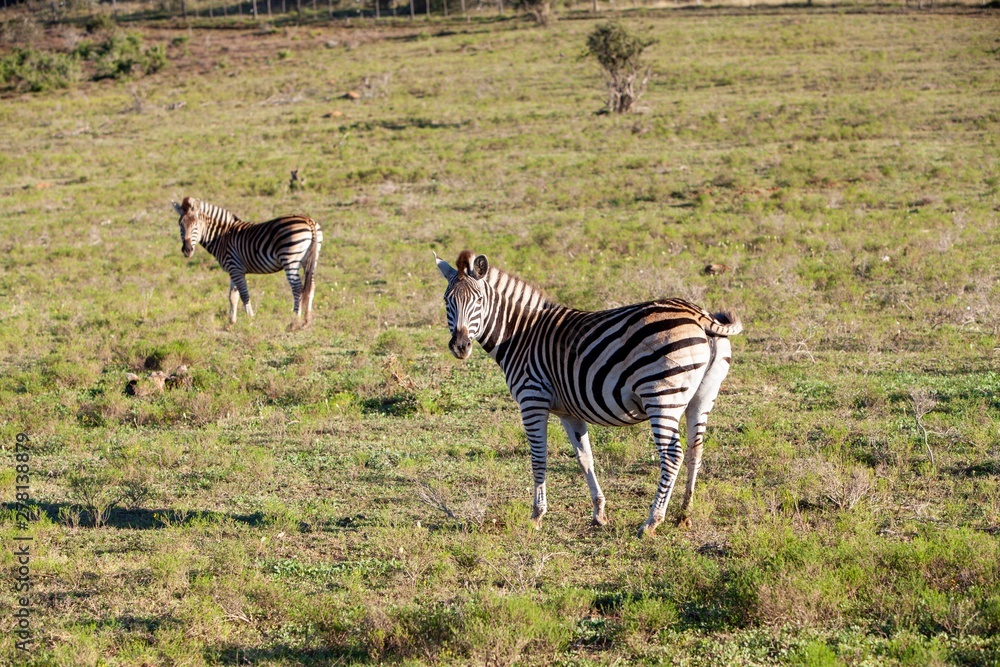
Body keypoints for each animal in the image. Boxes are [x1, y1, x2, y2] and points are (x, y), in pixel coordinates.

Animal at [172, 197, 322, 326]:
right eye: (180, 225)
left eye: (196, 225)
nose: (187, 250)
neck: (222, 237)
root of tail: (308, 220)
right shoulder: (233, 270)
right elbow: (232, 296)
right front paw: (231, 323)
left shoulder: (235, 268)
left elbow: (244, 295)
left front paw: (250, 319)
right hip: (311, 261)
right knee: (311, 287)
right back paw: (306, 320)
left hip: (290, 259)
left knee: (297, 288)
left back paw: (294, 321)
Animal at [435, 250, 742, 538]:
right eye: (447, 301)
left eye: (478, 301)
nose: (460, 346)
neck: (520, 335)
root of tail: (698, 314)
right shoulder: (568, 411)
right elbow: (585, 458)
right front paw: (599, 513)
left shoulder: (532, 399)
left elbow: (538, 458)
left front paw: (536, 515)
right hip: (702, 397)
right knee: (695, 450)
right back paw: (683, 514)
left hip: (662, 396)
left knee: (672, 455)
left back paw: (652, 521)